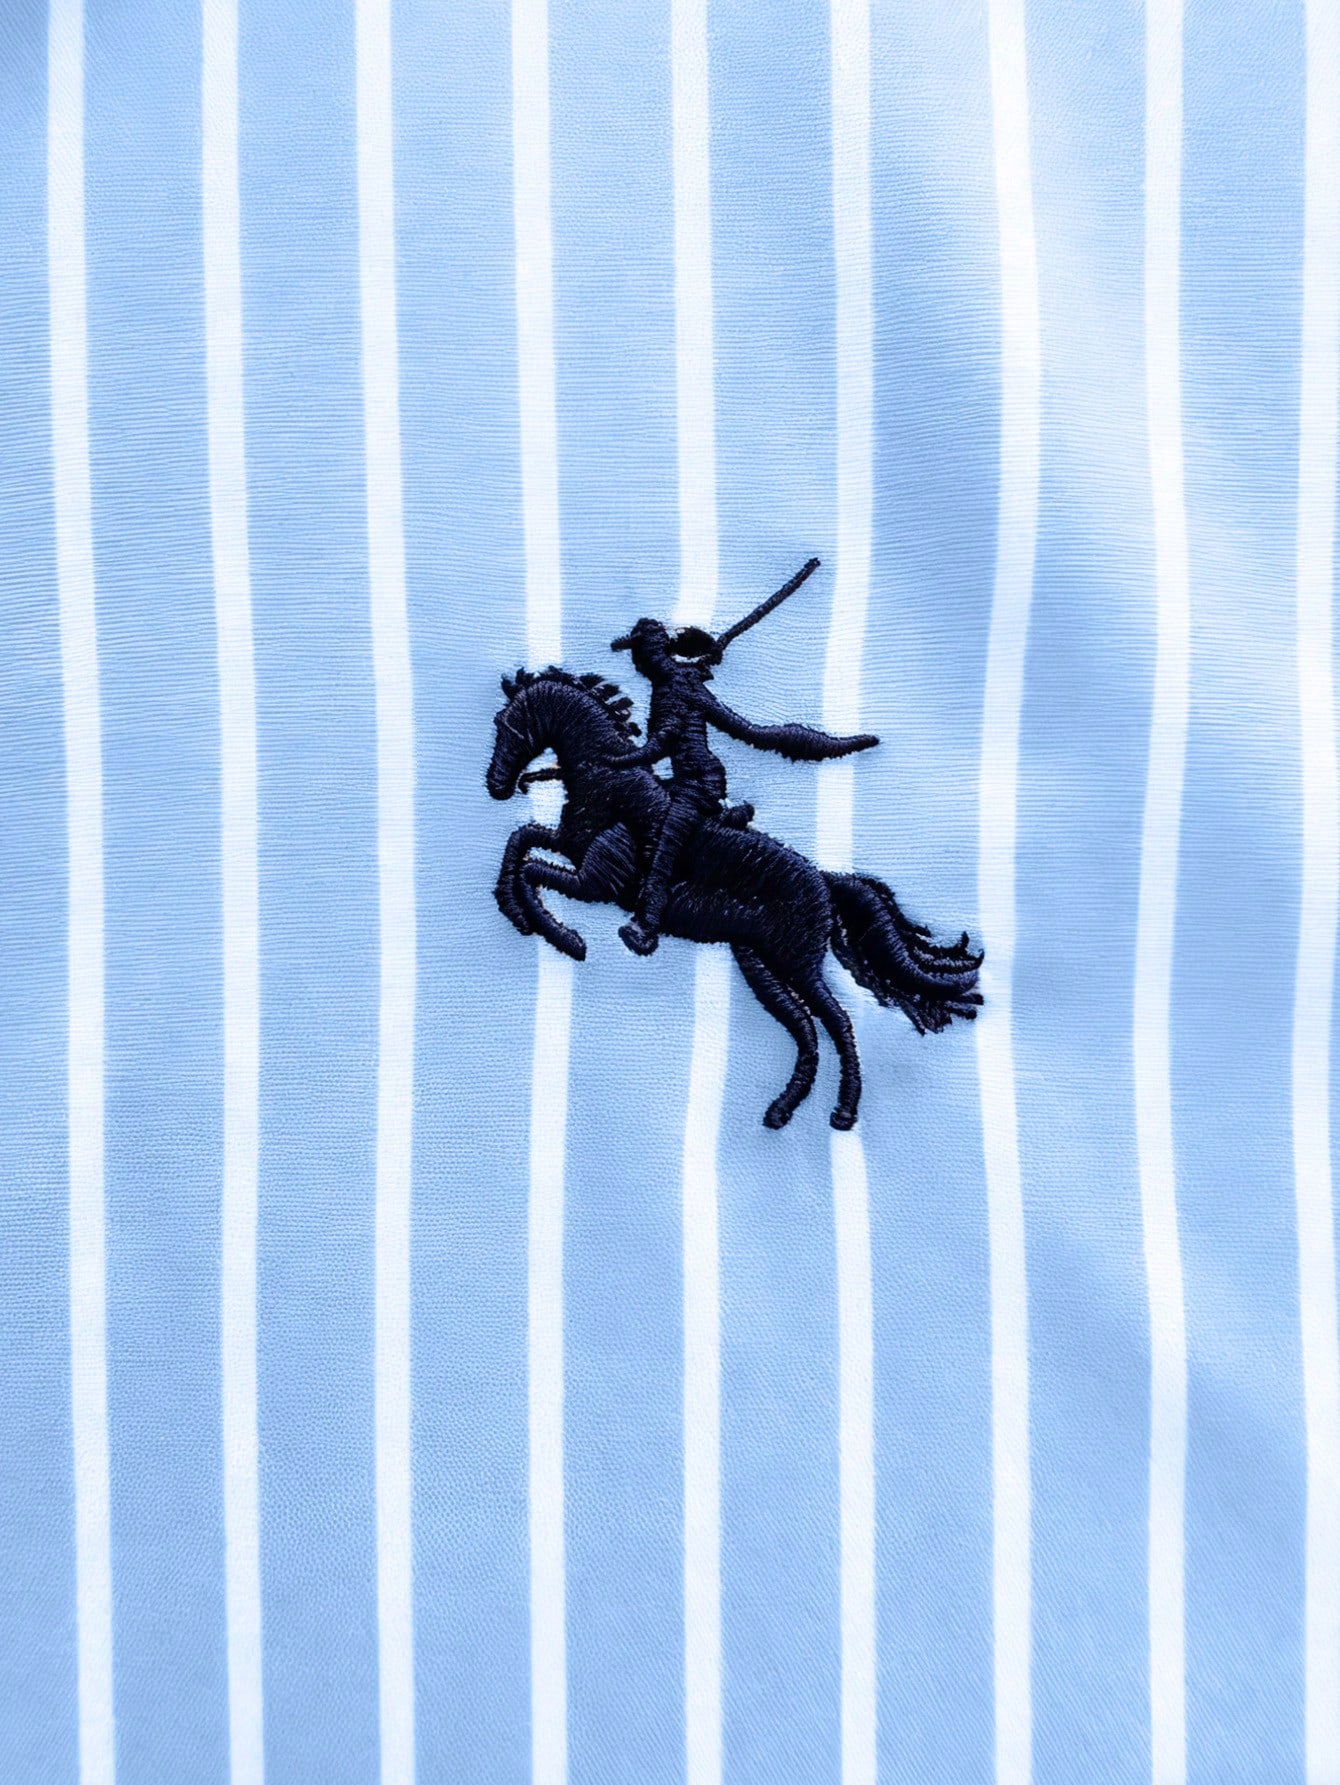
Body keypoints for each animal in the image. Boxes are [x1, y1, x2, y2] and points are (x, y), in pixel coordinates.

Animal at [486, 666, 982, 1130]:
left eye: (505, 724)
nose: (497, 785)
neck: (607, 782)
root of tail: (825, 880)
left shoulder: (599, 880)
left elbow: (530, 866)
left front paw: (565, 939)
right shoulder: (572, 848)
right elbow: (521, 841)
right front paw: (517, 911)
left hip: (797, 961)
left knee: (838, 1022)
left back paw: (841, 1112)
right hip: (758, 960)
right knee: (806, 1030)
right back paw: (782, 1110)